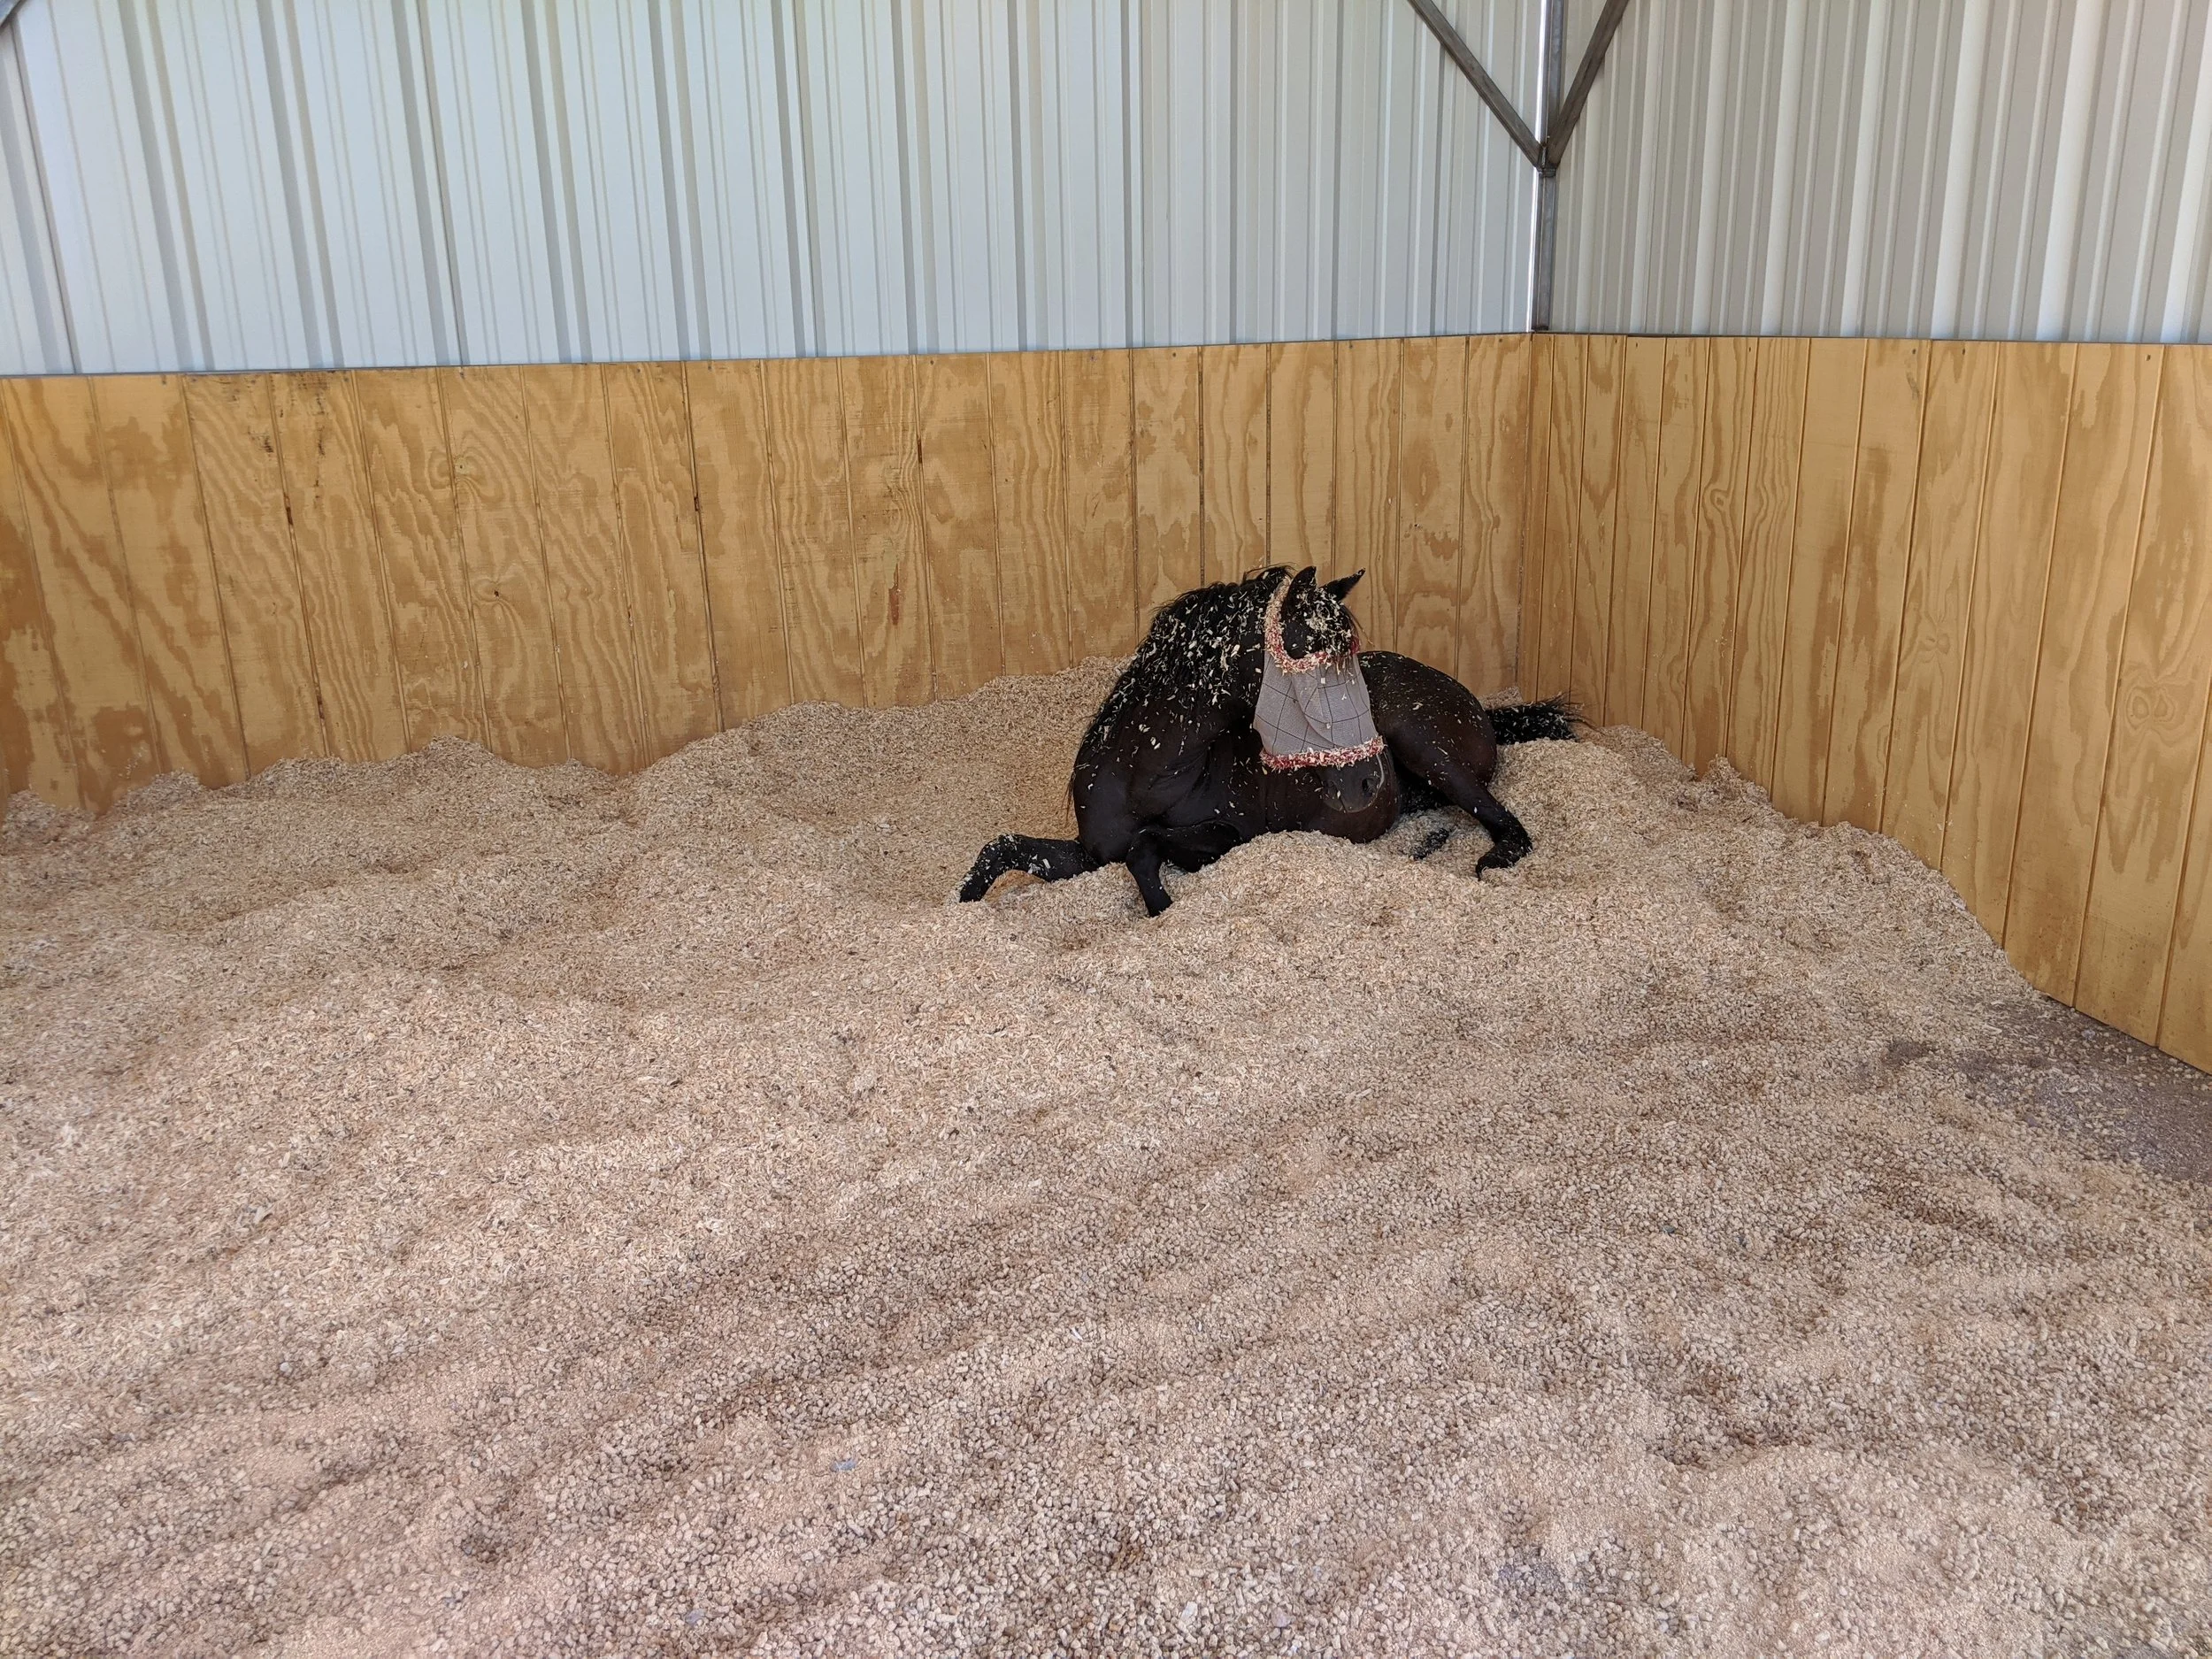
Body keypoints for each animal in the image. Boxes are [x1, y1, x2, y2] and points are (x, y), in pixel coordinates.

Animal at [957, 564, 1576, 916]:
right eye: (1311, 666)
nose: (1366, 781)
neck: (1148, 779)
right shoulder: (1091, 852)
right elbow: (1000, 847)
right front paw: (960, 908)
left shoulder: (1228, 835)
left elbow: (1145, 849)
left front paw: (1161, 910)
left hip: (1425, 749)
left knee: (1506, 824)